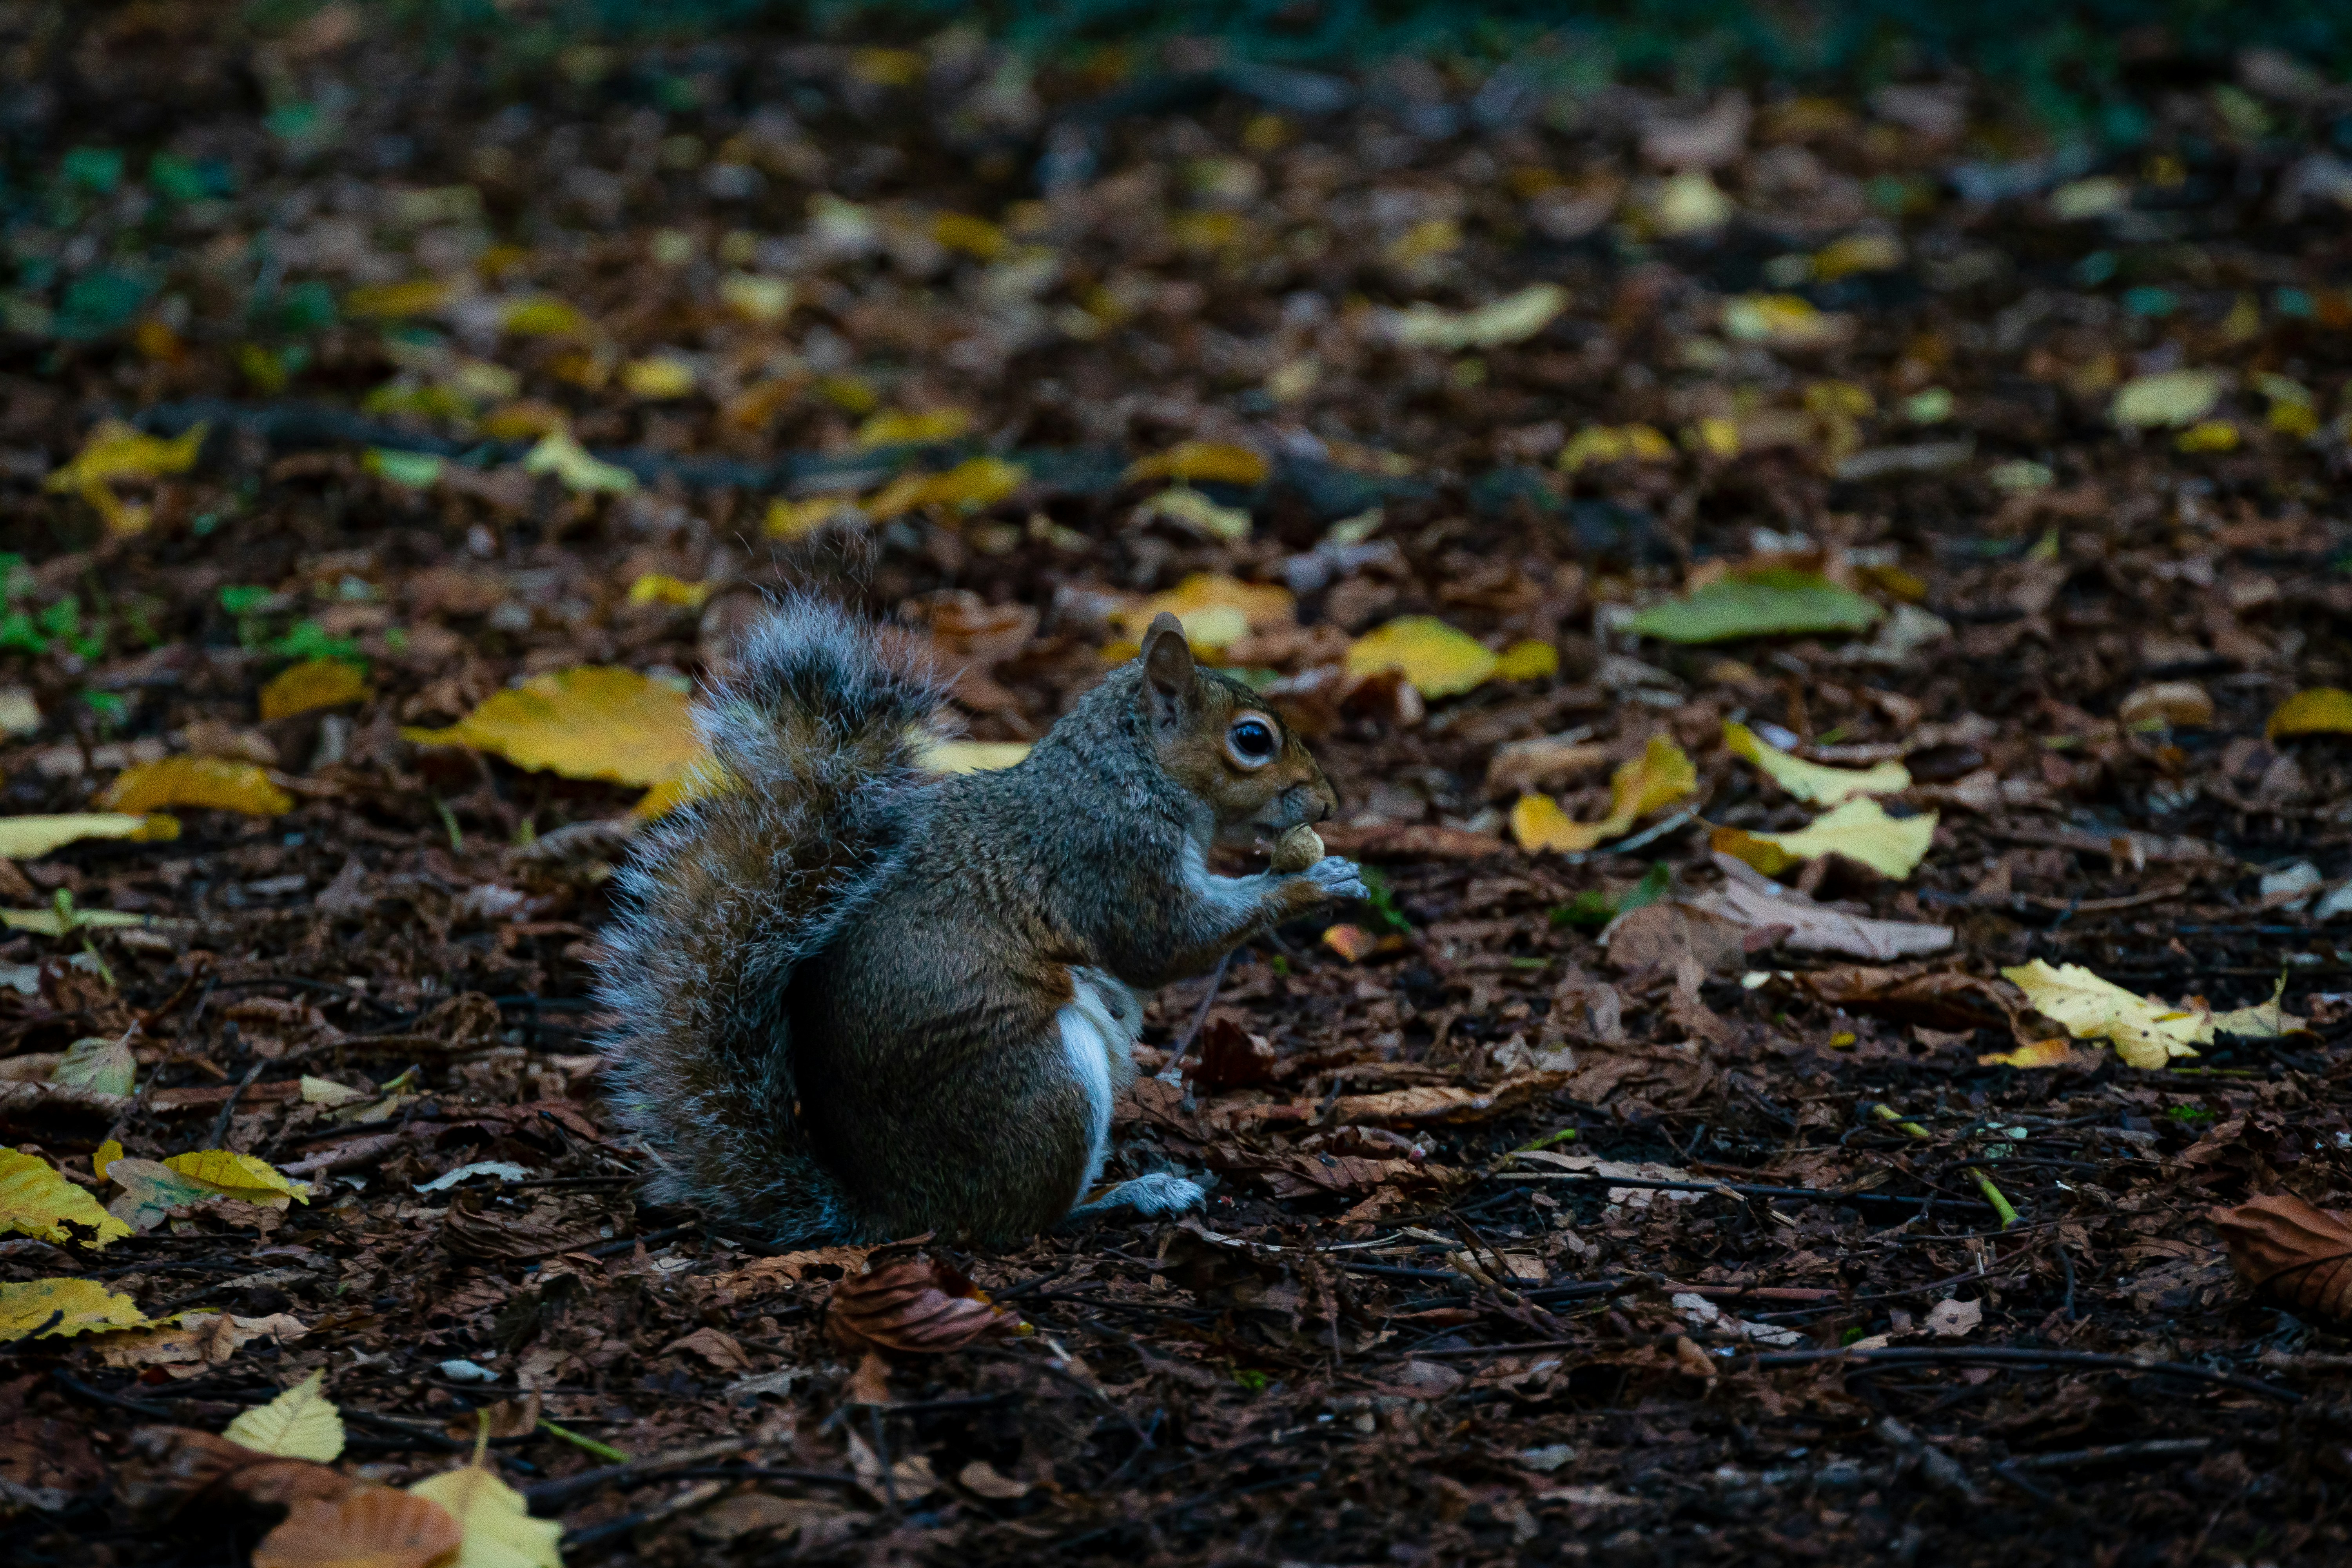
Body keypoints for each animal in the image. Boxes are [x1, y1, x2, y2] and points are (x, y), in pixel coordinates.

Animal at [594, 597, 1365, 1246]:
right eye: (1253, 739)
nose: (1328, 804)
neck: (1129, 776)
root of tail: (896, 1211)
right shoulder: (1110, 861)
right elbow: (1166, 945)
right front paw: (1312, 883)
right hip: (1043, 1084)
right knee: (1022, 1223)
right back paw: (1134, 1195)